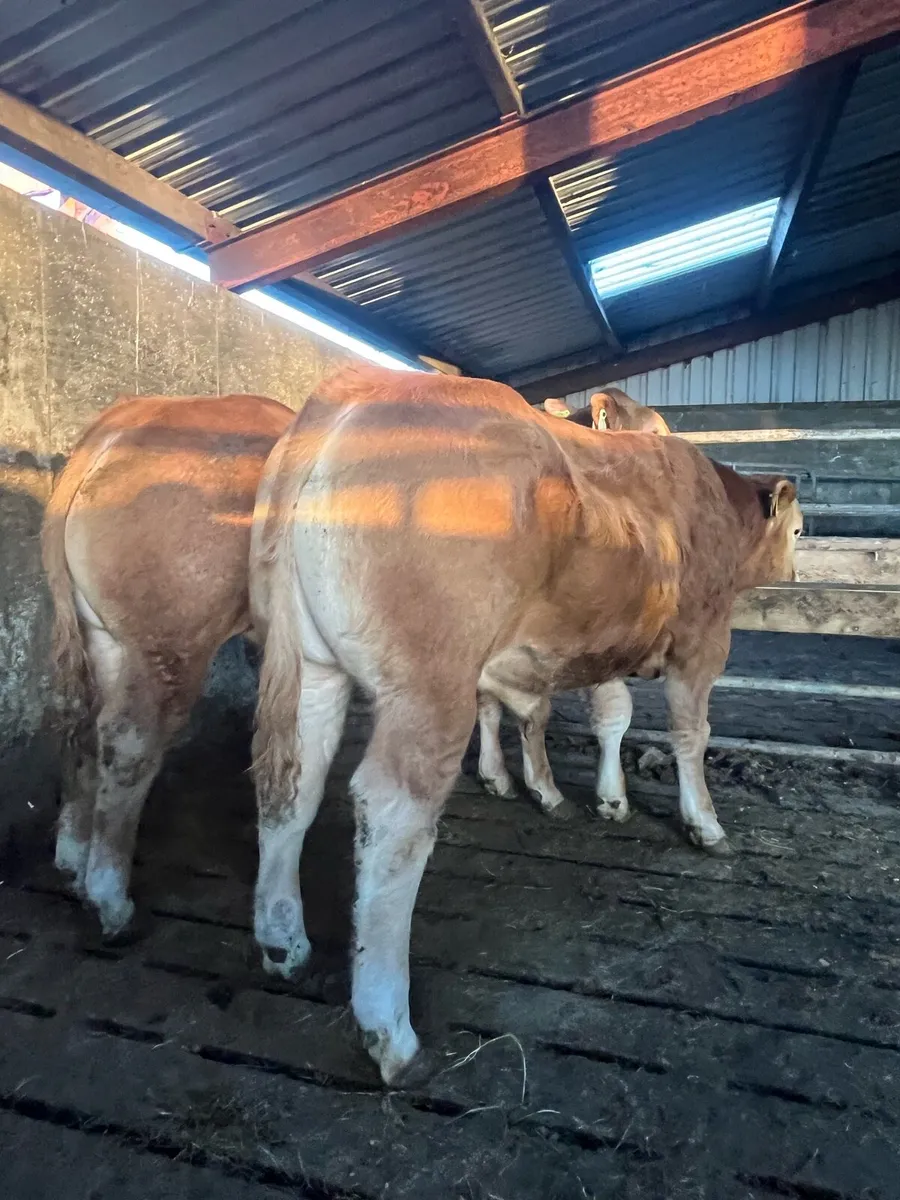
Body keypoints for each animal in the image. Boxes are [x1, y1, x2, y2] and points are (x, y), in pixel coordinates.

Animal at [42, 393, 294, 941]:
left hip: (101, 636)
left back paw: (71, 859)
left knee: (81, 724)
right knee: (129, 741)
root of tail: (121, 423)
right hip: (169, 647)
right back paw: (109, 899)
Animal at [248, 364, 801, 1085]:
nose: (798, 569)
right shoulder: (702, 640)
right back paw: (389, 1029)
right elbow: (690, 734)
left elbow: (611, 716)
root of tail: (358, 386)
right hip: (429, 681)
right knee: (393, 814)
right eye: (799, 531)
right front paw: (703, 824)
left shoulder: (605, 643)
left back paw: (282, 940)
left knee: (293, 783)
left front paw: (609, 800)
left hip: (308, 666)